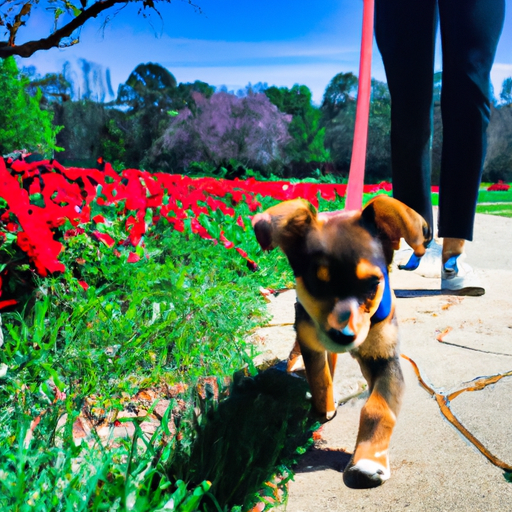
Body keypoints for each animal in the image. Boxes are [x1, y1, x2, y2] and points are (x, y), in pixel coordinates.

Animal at [252, 195, 432, 488]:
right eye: (316, 283)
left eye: (373, 284)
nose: (344, 336)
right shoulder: (311, 339)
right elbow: (319, 378)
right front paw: (323, 408)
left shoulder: (384, 358)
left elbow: (378, 408)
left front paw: (367, 462)